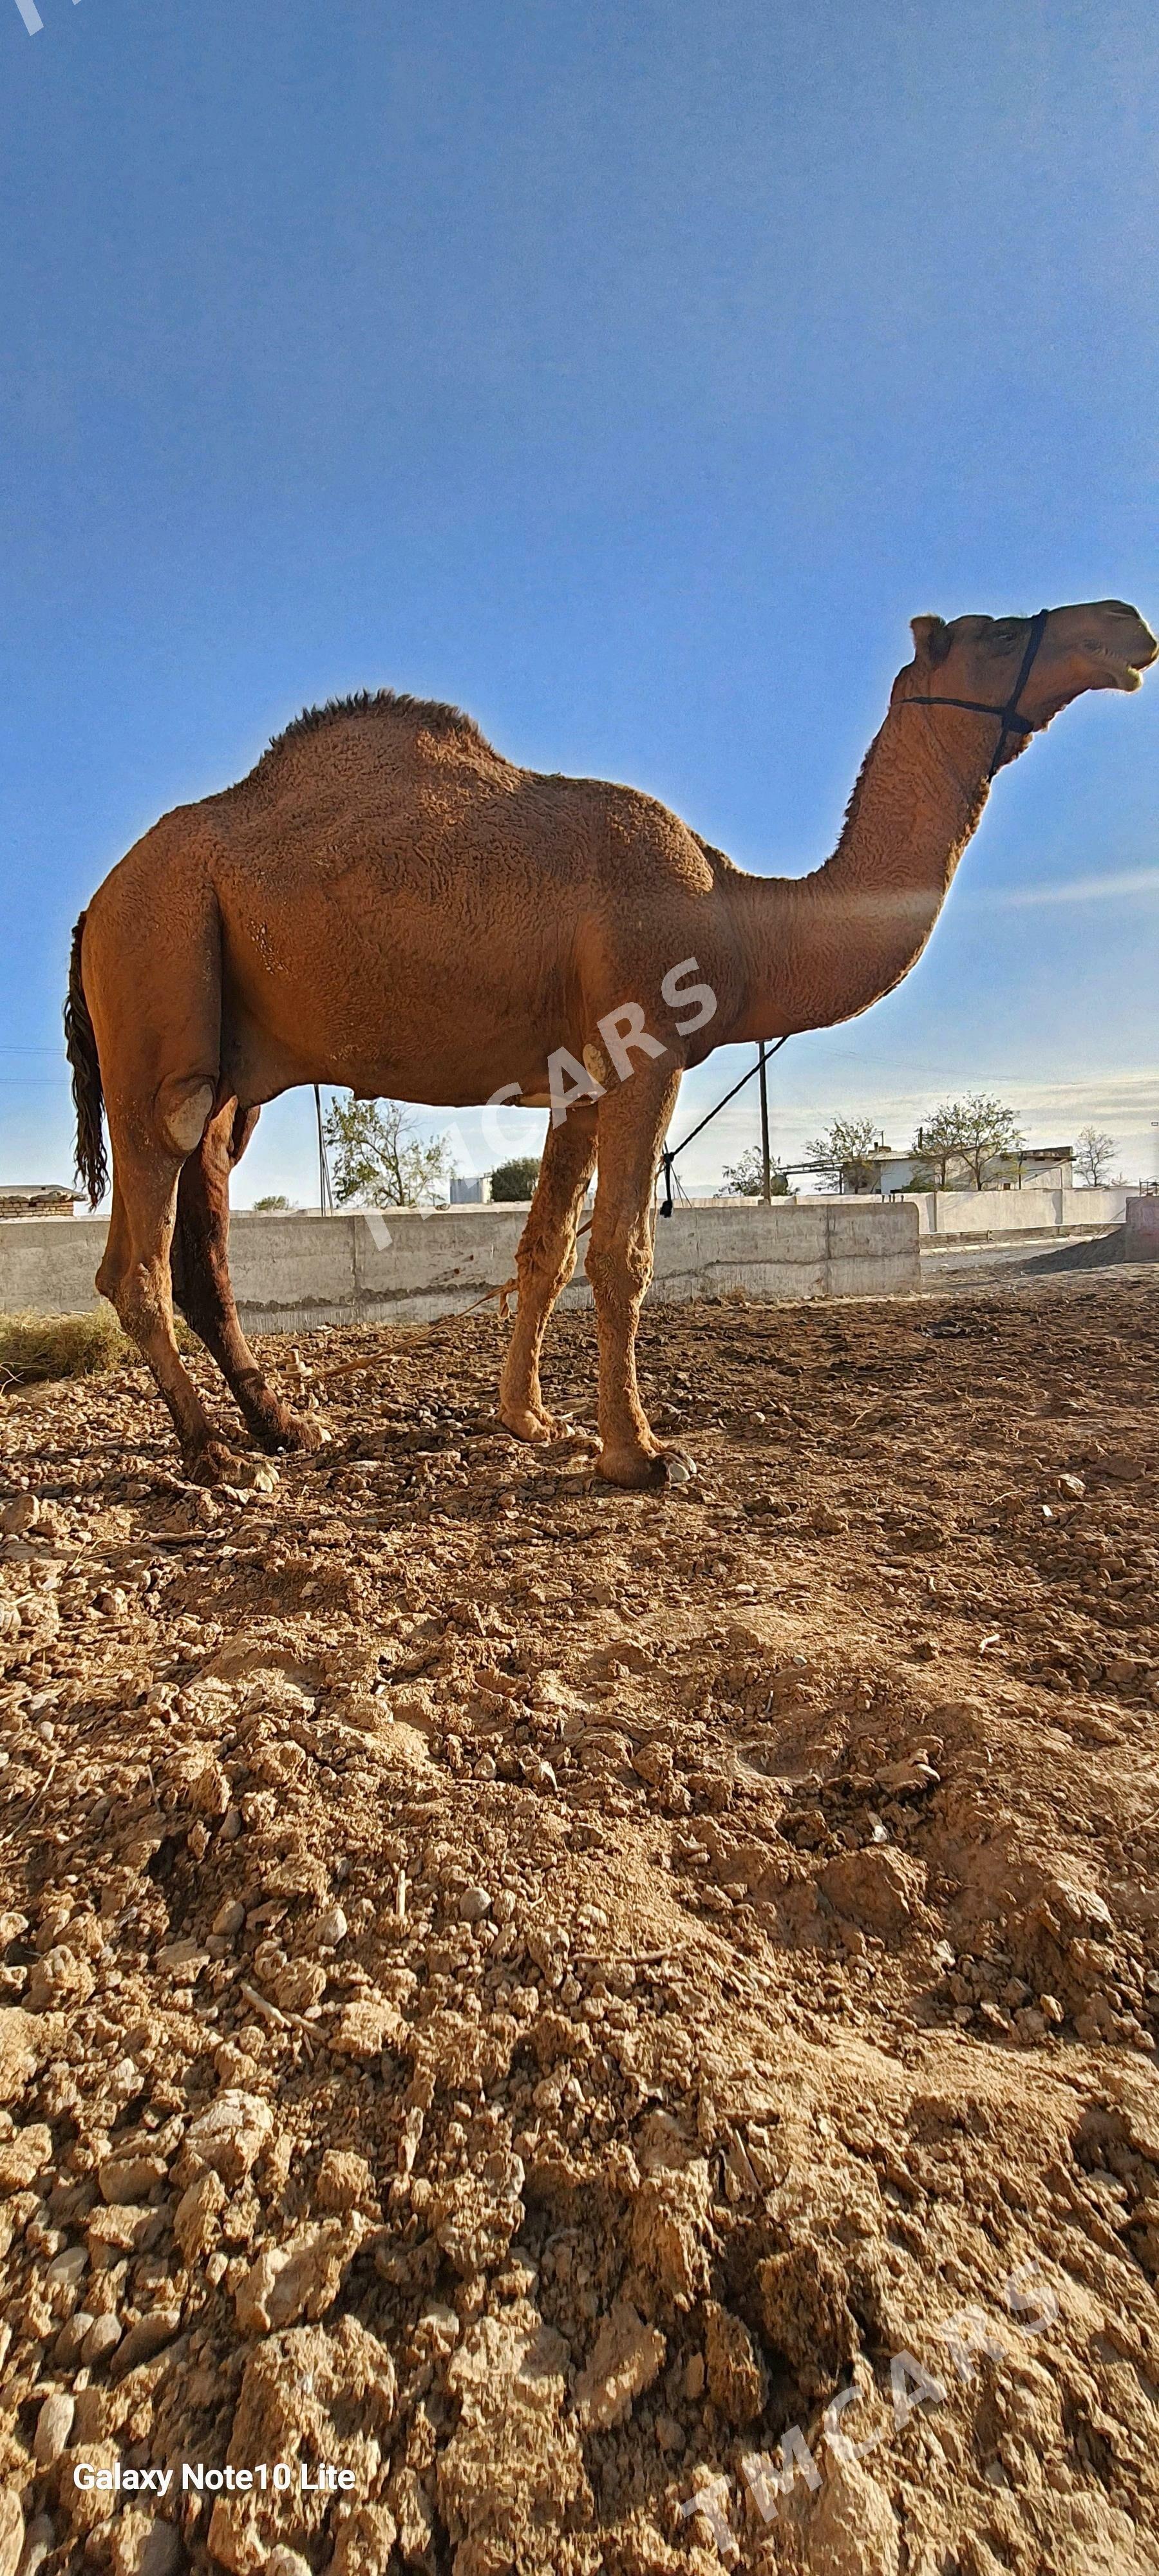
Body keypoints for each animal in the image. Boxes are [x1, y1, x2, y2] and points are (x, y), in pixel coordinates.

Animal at [66, 598, 1159, 1494]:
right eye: (1001, 632)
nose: (1127, 626)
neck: (742, 915)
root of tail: (91, 906)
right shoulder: (646, 1050)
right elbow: (623, 1252)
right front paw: (639, 1451)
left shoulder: (581, 1075)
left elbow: (545, 1248)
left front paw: (531, 1421)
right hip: (159, 974)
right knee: (138, 1248)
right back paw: (212, 1456)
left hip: (229, 1067)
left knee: (205, 1241)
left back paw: (285, 1428)